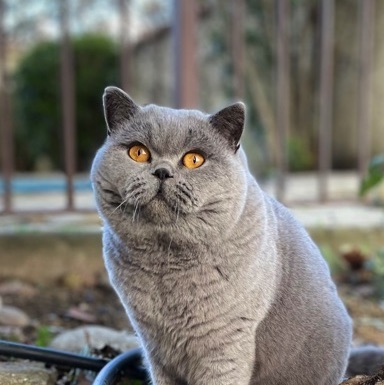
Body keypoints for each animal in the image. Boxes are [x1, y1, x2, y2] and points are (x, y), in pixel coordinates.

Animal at [91, 87, 352, 384]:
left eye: (194, 159)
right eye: (138, 152)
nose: (162, 171)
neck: (165, 262)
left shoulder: (226, 342)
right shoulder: (154, 345)